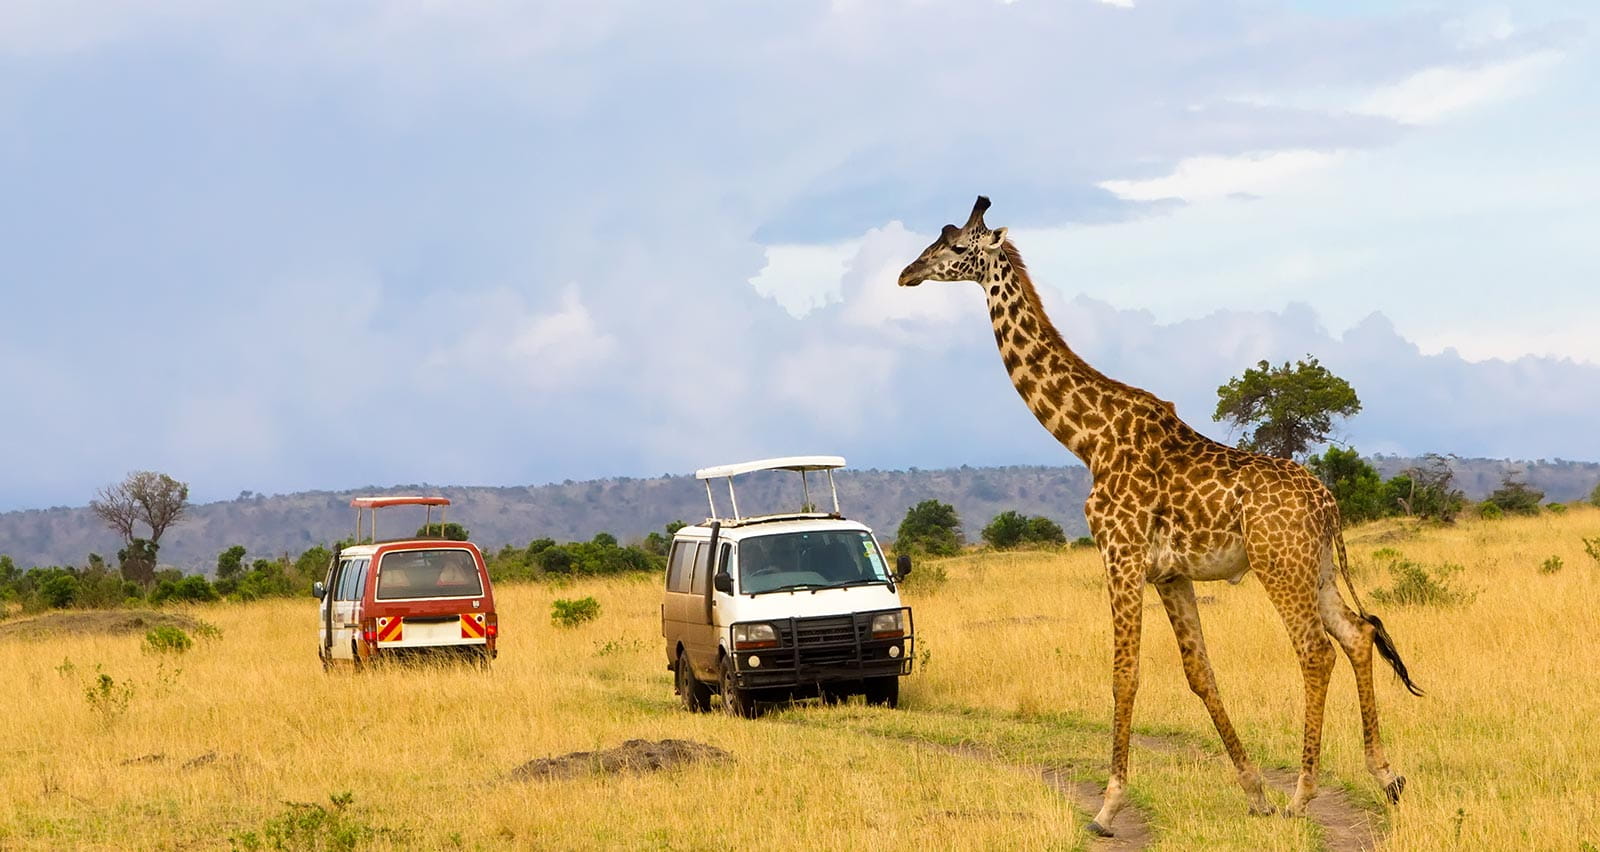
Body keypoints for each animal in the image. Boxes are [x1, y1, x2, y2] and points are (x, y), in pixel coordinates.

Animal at [897, 196, 1421, 836]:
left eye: (953, 246)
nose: (907, 274)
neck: (1088, 437)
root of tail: (1330, 505)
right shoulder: (1170, 574)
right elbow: (1200, 674)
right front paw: (1253, 791)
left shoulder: (1120, 555)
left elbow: (1125, 673)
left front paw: (1108, 805)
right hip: (1313, 567)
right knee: (1358, 633)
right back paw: (1385, 776)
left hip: (1279, 566)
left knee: (1316, 651)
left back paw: (1303, 795)